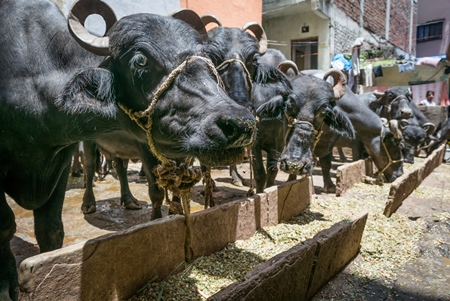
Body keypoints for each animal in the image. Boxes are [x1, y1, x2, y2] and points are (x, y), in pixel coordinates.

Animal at [0, 1, 256, 298]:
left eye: (205, 59)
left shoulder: (60, 163)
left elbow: (50, 229)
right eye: (141, 60)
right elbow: (5, 227)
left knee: (121, 168)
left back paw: (129, 200)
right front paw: (6, 285)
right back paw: (89, 203)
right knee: (90, 169)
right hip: (90, 145)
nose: (240, 123)